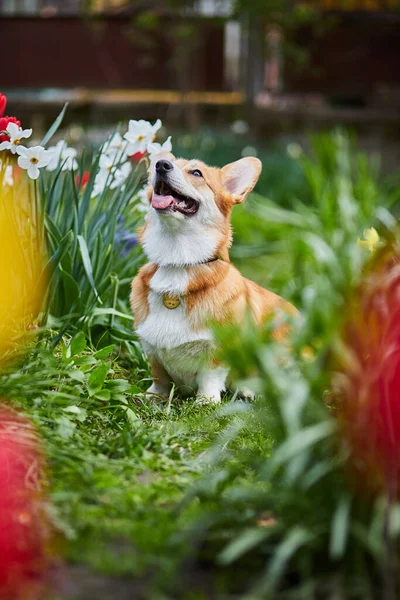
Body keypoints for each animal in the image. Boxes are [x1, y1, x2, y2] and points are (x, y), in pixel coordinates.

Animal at [130, 155, 296, 404]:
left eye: (196, 173)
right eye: (167, 162)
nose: (161, 165)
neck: (178, 262)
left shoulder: (219, 348)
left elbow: (210, 375)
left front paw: (205, 401)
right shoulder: (151, 348)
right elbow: (159, 376)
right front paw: (154, 396)